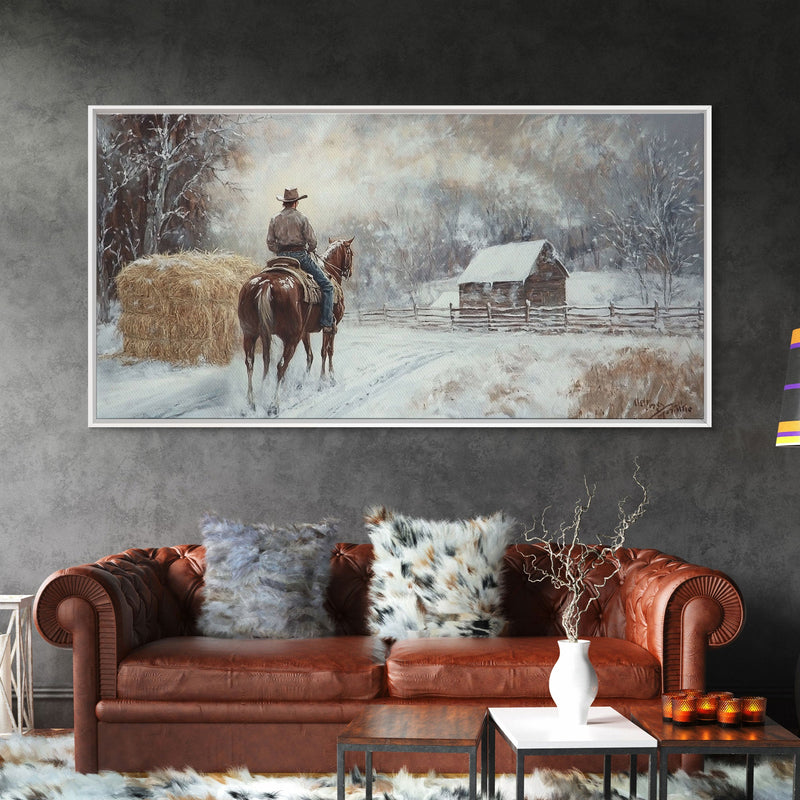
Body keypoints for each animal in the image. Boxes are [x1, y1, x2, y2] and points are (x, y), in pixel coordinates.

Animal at [234, 236, 354, 416]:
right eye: (351, 253)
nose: (350, 272)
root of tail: (265, 283)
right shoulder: (331, 328)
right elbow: (326, 352)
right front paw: (327, 380)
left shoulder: (305, 332)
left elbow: (310, 355)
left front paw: (302, 384)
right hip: (291, 338)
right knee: (281, 365)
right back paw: (273, 404)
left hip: (250, 334)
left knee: (252, 363)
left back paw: (253, 403)